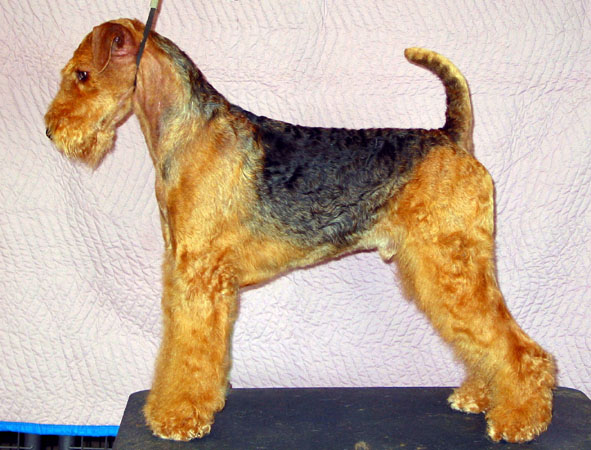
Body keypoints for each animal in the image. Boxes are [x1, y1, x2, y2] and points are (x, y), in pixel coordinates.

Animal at [44, 18, 555, 442]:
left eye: (82, 75)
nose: (51, 130)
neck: (188, 132)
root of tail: (452, 137)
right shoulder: (183, 272)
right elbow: (178, 348)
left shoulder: (201, 276)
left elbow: (192, 351)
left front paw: (178, 417)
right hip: (444, 266)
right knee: (484, 340)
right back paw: (481, 397)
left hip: (451, 262)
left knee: (518, 348)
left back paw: (518, 420)